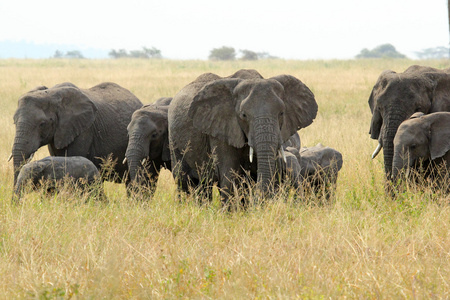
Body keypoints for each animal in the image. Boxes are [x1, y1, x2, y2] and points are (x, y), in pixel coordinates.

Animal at [167, 68, 318, 204]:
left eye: (281, 113)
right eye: (244, 115)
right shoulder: (221, 127)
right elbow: (229, 173)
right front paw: (230, 214)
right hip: (174, 139)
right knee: (186, 180)